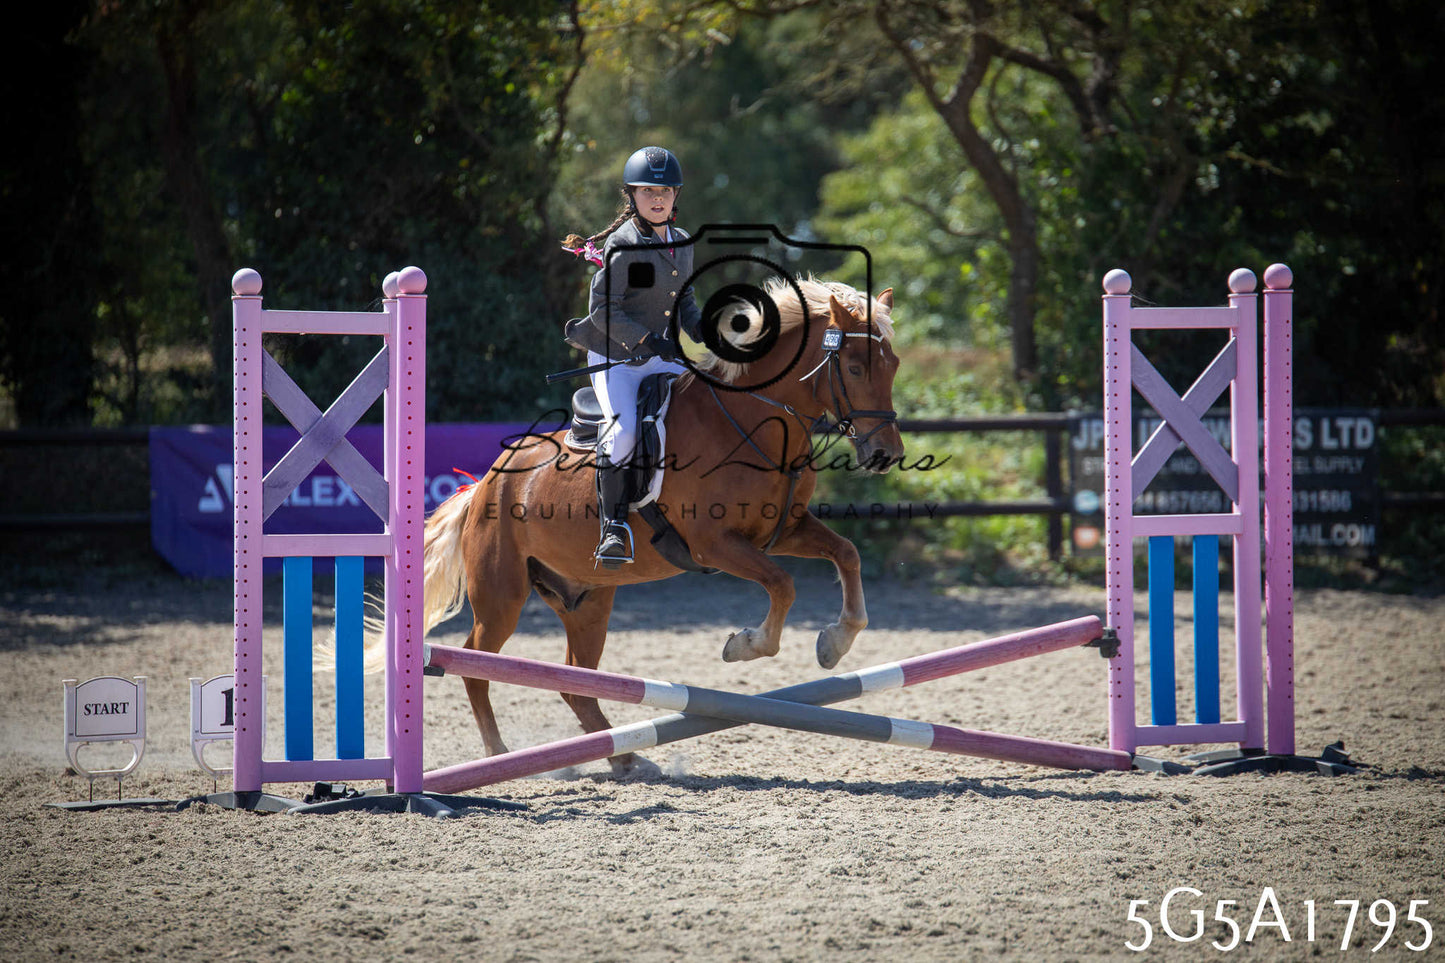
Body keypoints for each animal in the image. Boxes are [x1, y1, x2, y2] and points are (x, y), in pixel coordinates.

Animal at [413, 276, 904, 772]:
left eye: (894, 366)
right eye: (855, 368)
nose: (887, 455)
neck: (749, 423)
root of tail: (485, 483)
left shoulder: (782, 530)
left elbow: (846, 554)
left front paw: (834, 643)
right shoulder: (714, 544)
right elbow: (783, 584)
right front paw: (744, 645)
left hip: (587, 600)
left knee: (575, 681)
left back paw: (625, 759)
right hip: (501, 596)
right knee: (475, 662)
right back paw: (498, 754)